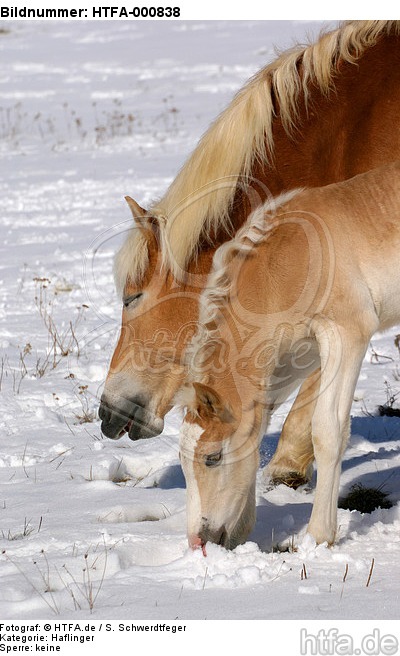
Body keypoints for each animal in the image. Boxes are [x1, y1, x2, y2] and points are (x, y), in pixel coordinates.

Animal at [180, 160, 400, 552]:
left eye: (212, 457)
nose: (198, 542)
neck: (289, 261)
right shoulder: (298, 351)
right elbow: (260, 420)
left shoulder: (346, 332)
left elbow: (327, 431)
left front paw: (319, 535)